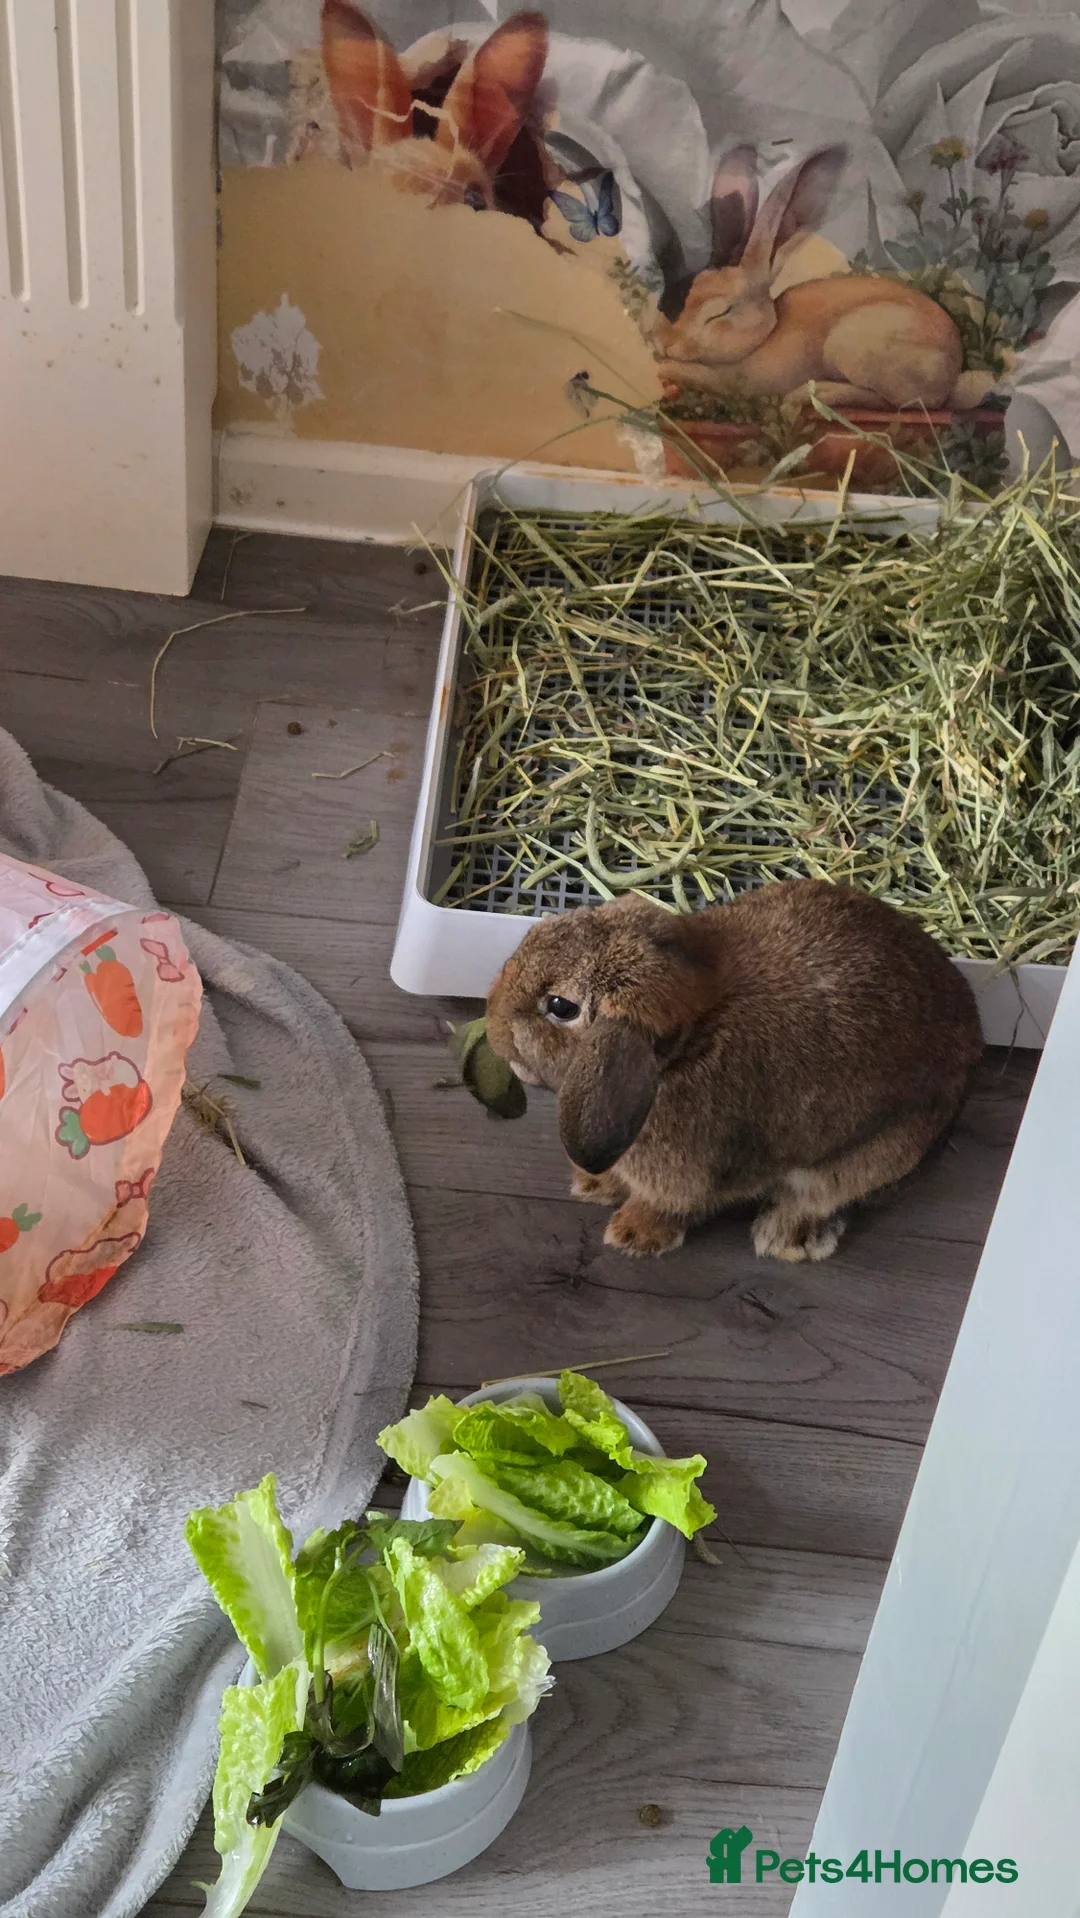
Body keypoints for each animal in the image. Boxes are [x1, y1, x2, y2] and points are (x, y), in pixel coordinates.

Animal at [486, 880, 983, 1261]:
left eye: (560, 1007)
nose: (492, 1023)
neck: (686, 1047)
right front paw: (593, 1184)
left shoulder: (680, 1178)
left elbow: (666, 1204)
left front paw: (631, 1236)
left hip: (868, 1156)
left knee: (817, 1198)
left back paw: (783, 1240)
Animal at [653, 146, 993, 413]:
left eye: (721, 312)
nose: (667, 344)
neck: (766, 335)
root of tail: (952, 377)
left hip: (850, 347)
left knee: (903, 403)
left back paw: (811, 394)